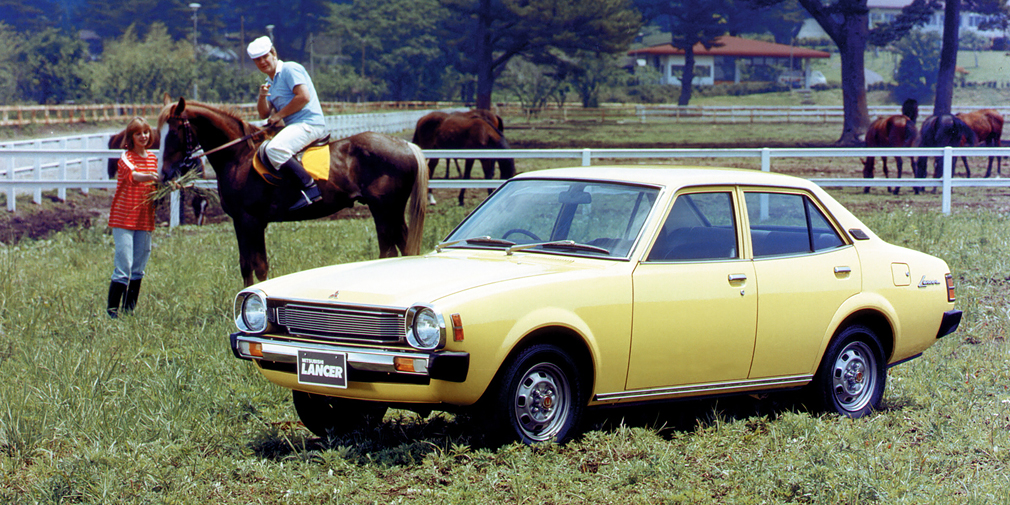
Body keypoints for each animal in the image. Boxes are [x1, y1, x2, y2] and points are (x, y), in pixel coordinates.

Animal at [156, 97, 426, 288]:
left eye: (174, 132)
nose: (165, 174)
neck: (238, 157)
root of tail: (404, 145)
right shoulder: (241, 223)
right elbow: (246, 265)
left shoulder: (251, 221)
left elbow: (259, 266)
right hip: (392, 212)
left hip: (383, 210)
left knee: (389, 252)